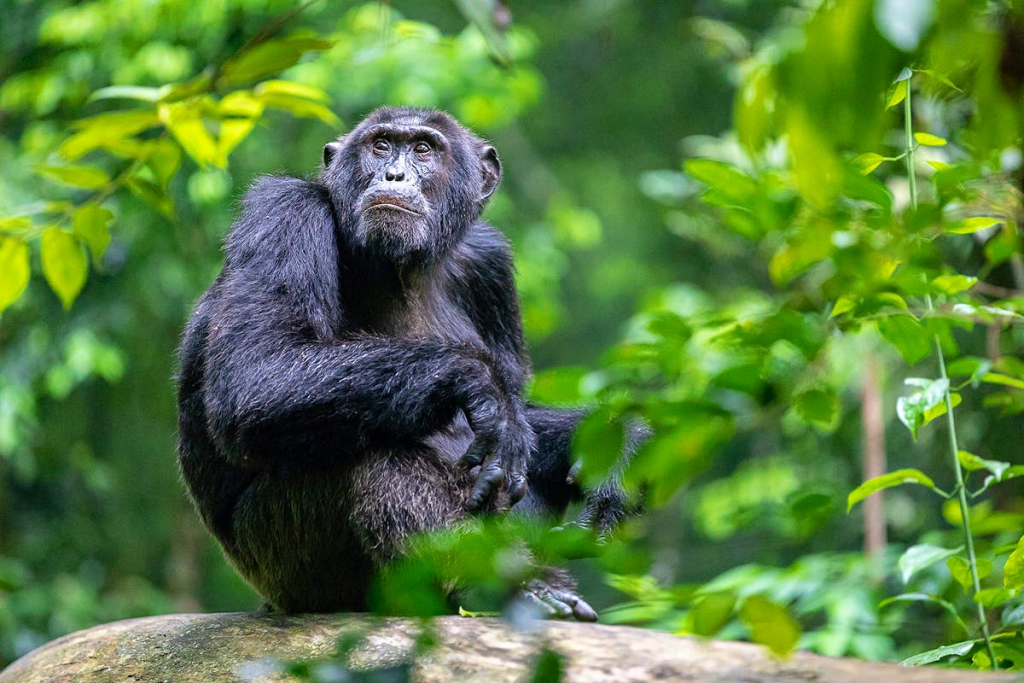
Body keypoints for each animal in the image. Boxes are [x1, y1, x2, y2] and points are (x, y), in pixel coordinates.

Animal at [180, 105, 634, 618]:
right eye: (380, 145)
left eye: (423, 149)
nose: (393, 174)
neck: (403, 269)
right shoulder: (283, 214)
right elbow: (255, 372)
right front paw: (479, 385)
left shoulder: (490, 264)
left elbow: (524, 409)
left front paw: (622, 445)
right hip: (290, 567)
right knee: (375, 456)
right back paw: (518, 590)